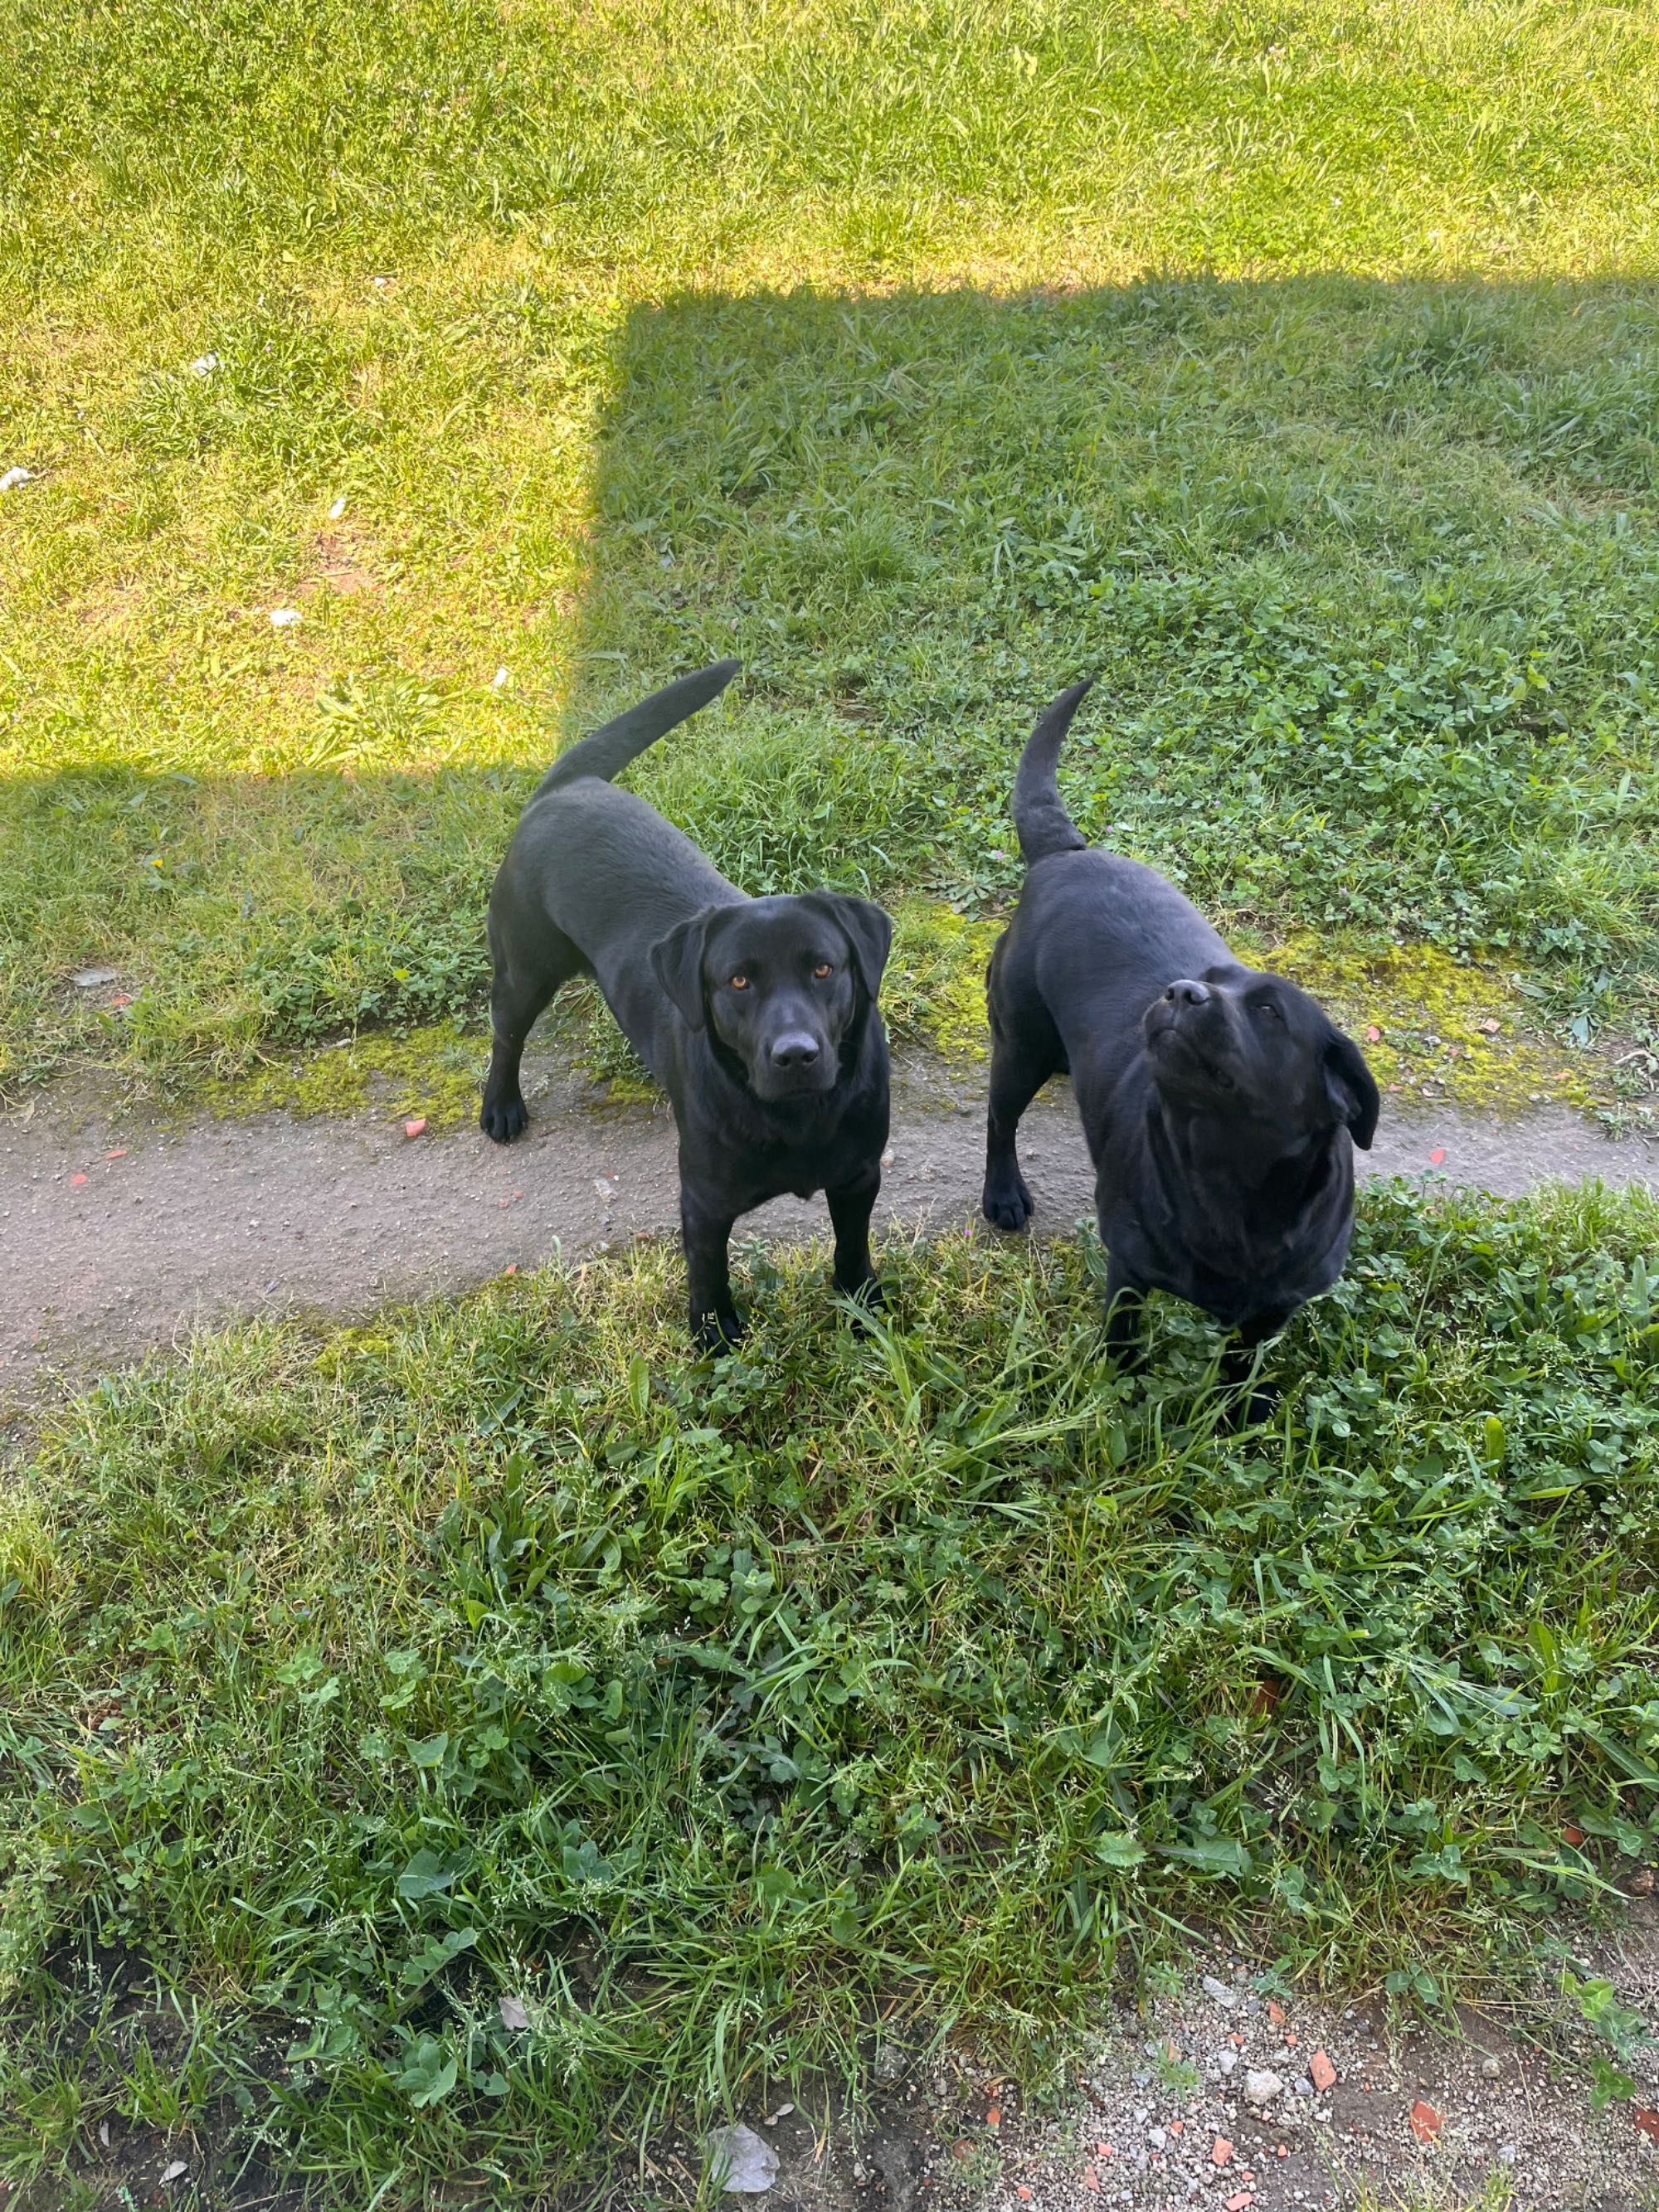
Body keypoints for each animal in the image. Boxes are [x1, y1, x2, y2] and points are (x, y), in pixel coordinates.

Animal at [479, 654, 898, 1344]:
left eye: (823, 967)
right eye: (738, 981)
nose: (796, 1055)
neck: (798, 1117)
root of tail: (566, 785)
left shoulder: (860, 1174)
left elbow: (852, 1244)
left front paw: (862, 1303)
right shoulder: (704, 1202)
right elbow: (708, 1273)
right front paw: (715, 1335)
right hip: (524, 967)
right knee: (505, 1035)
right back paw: (501, 1105)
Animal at [982, 681, 1380, 1362]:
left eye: (1269, 1009)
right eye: (1210, 978)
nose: (1182, 990)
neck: (1229, 1180)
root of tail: (1065, 853)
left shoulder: (1271, 1313)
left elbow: (1240, 1368)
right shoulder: (1128, 1268)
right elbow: (1121, 1338)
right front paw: (1117, 1381)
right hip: (1020, 1045)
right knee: (1000, 1118)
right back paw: (1002, 1193)